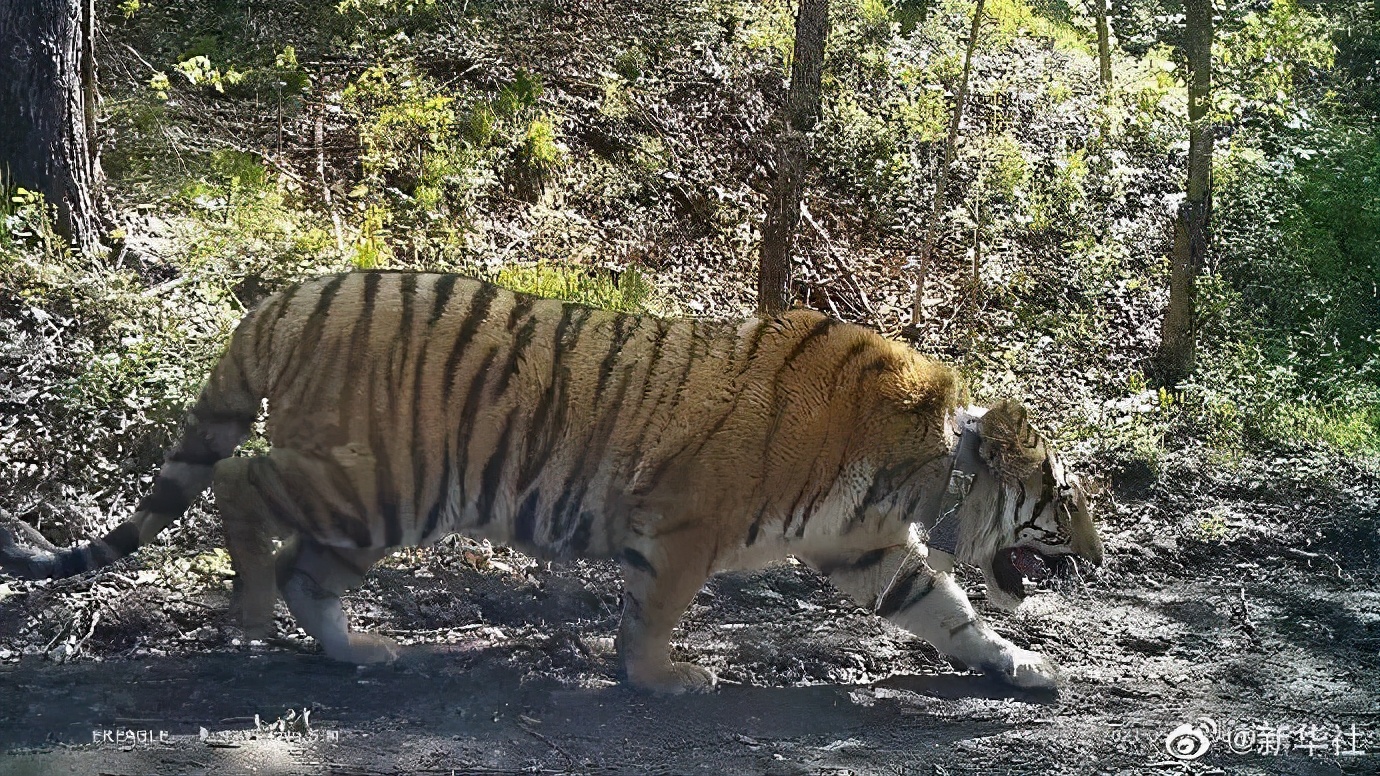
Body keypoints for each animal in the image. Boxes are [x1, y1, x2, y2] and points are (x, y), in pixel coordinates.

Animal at [0, 270, 1102, 694]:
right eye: (1065, 499)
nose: (1097, 558)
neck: (921, 475)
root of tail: (288, 296)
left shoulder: (865, 548)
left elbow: (949, 610)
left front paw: (1022, 665)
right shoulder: (691, 522)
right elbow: (659, 607)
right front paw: (660, 677)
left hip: (381, 506)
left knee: (309, 560)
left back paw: (358, 649)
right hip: (373, 480)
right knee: (239, 479)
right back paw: (252, 612)